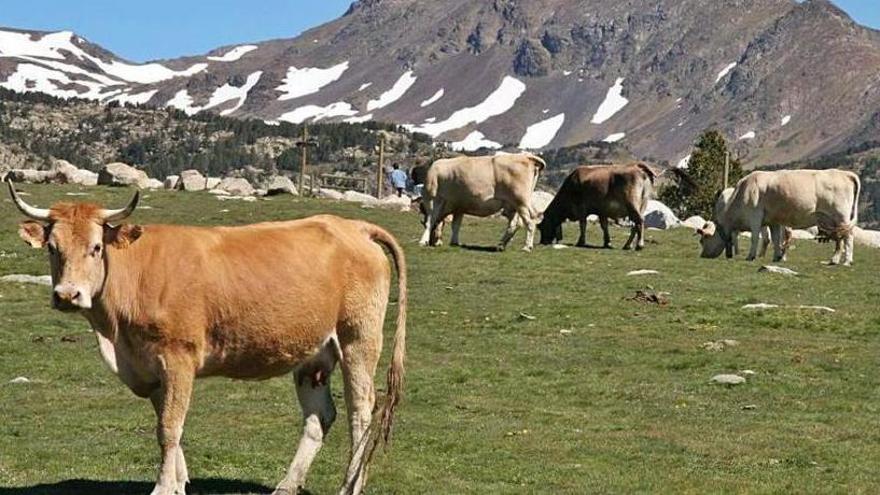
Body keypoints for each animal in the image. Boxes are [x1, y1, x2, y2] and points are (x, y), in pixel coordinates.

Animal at [6, 183, 408, 495]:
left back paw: (350, 485)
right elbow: (169, 425)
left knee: (361, 410)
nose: (67, 295)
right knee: (320, 416)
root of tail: (353, 226)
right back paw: (287, 484)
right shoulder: (150, 369)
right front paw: (179, 484)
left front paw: (163, 487)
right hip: (314, 355)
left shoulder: (178, 357)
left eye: (96, 248)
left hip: (358, 338)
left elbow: (169, 428)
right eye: (52, 248)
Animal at [700, 169, 860, 266]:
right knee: (839, 239)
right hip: (832, 221)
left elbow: (755, 237)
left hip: (841, 216)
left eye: (703, 240)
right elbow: (776, 239)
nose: (702, 255)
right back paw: (835, 260)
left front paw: (751, 256)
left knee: (848, 237)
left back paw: (847, 261)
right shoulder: (773, 221)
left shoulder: (755, 217)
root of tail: (845, 173)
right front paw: (777, 256)